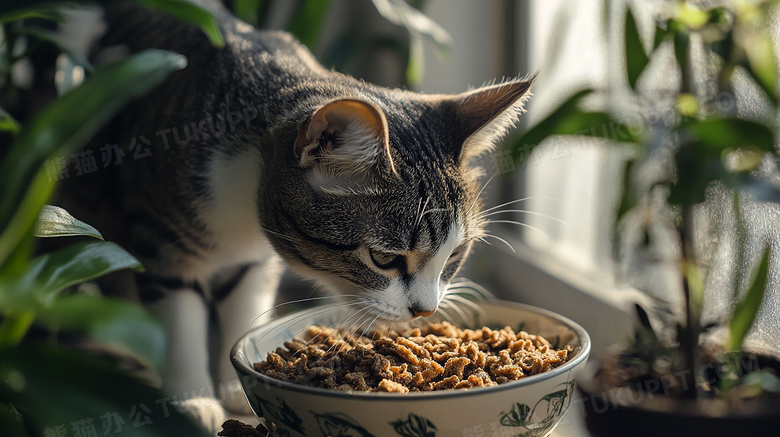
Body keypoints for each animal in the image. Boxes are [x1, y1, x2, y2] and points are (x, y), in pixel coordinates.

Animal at [59, 0, 536, 430]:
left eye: (453, 256)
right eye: (384, 258)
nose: (425, 312)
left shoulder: (256, 260)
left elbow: (244, 302)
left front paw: (233, 384)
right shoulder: (160, 233)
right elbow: (180, 320)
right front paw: (191, 400)